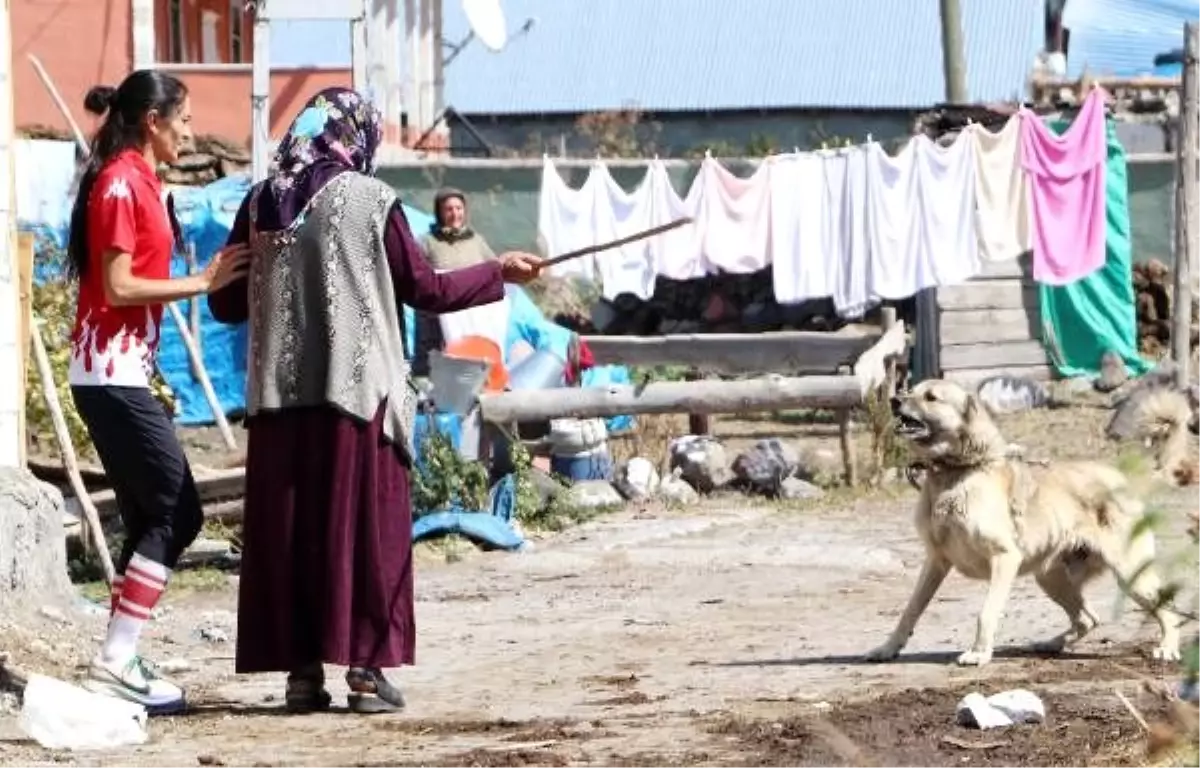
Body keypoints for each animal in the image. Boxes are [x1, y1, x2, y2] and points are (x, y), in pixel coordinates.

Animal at [864, 379, 1180, 667]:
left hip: (1130, 573)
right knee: (1088, 618)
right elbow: (910, 610)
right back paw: (1050, 644)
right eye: (910, 390)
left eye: (931, 397)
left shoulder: (1004, 558)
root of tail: (1122, 478)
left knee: (1167, 610)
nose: (893, 400)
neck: (955, 474)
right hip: (1050, 577)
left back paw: (1168, 648)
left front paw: (979, 653)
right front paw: (887, 648)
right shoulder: (936, 561)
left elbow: (986, 613)